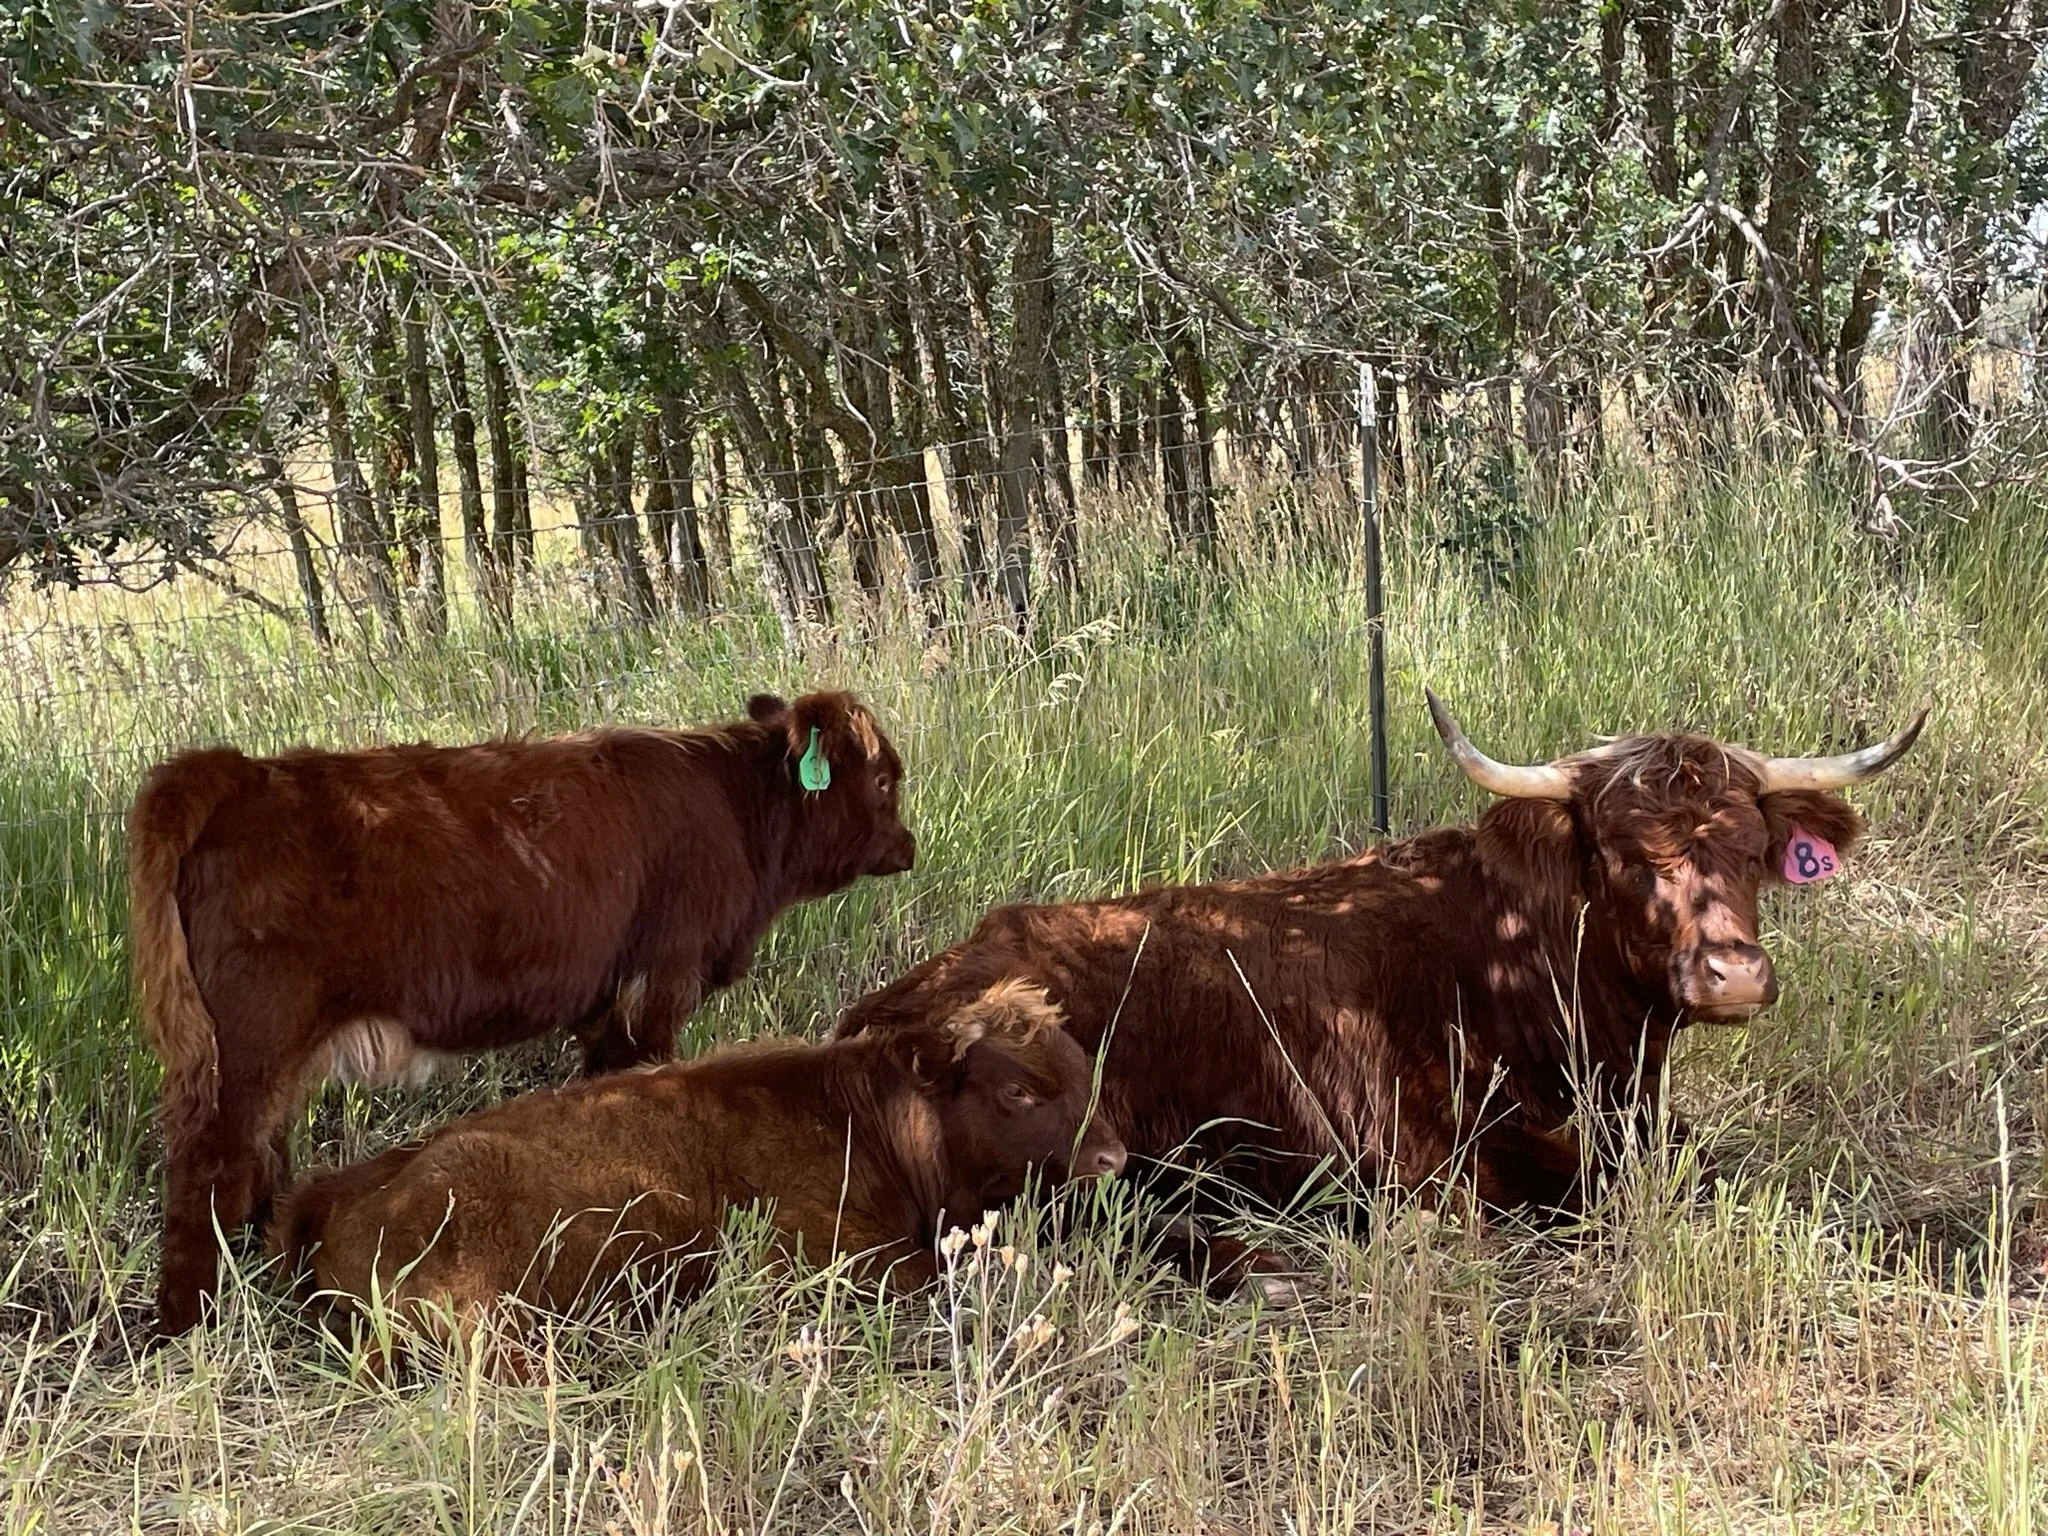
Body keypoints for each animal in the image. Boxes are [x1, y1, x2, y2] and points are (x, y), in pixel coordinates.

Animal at [131, 689, 917, 1338]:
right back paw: (188, 1327)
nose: (909, 846)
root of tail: (237, 772)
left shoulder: (607, 1005)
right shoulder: (658, 983)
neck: (735, 807)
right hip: (247, 1045)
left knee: (258, 1157)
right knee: (208, 1168)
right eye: (884, 780)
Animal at [269, 979, 1126, 1368]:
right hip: (492, 1323)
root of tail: (336, 1191)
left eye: (1085, 1069)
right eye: (1018, 1091)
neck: (860, 1116)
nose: (1113, 1157)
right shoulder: (829, 1260)